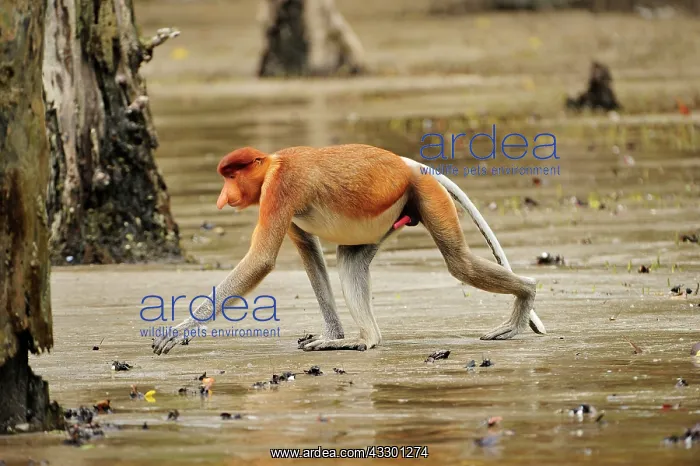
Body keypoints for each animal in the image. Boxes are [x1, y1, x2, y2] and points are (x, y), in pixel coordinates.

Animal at [152, 144, 546, 355]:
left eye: (232, 175)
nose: (223, 197)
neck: (273, 163)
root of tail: (409, 164)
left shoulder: (279, 189)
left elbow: (261, 260)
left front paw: (179, 329)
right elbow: (309, 252)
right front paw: (332, 335)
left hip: (426, 192)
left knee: (459, 263)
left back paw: (526, 293)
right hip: (392, 213)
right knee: (351, 261)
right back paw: (364, 339)